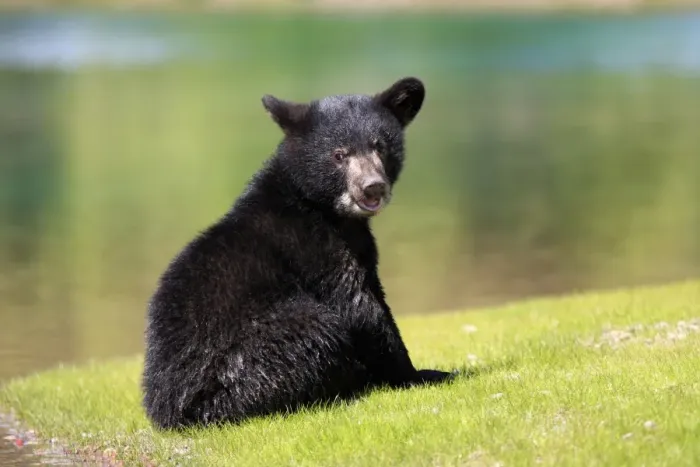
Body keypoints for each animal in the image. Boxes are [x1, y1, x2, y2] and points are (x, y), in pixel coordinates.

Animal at [142, 77, 455, 429]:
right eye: (339, 154)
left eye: (380, 146)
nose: (372, 186)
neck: (318, 207)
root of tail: (168, 413)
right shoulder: (315, 248)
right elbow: (360, 306)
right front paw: (421, 374)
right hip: (253, 357)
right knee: (316, 328)